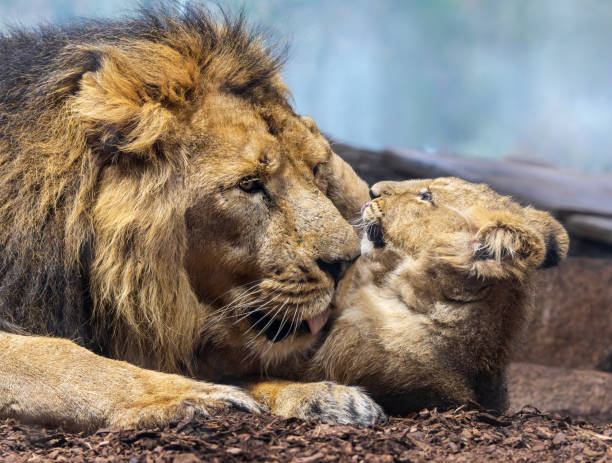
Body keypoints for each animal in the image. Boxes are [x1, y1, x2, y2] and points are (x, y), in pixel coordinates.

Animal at [0, 5, 382, 432]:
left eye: (316, 169)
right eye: (250, 185)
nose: (347, 263)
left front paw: (326, 396)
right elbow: (57, 357)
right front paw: (192, 396)